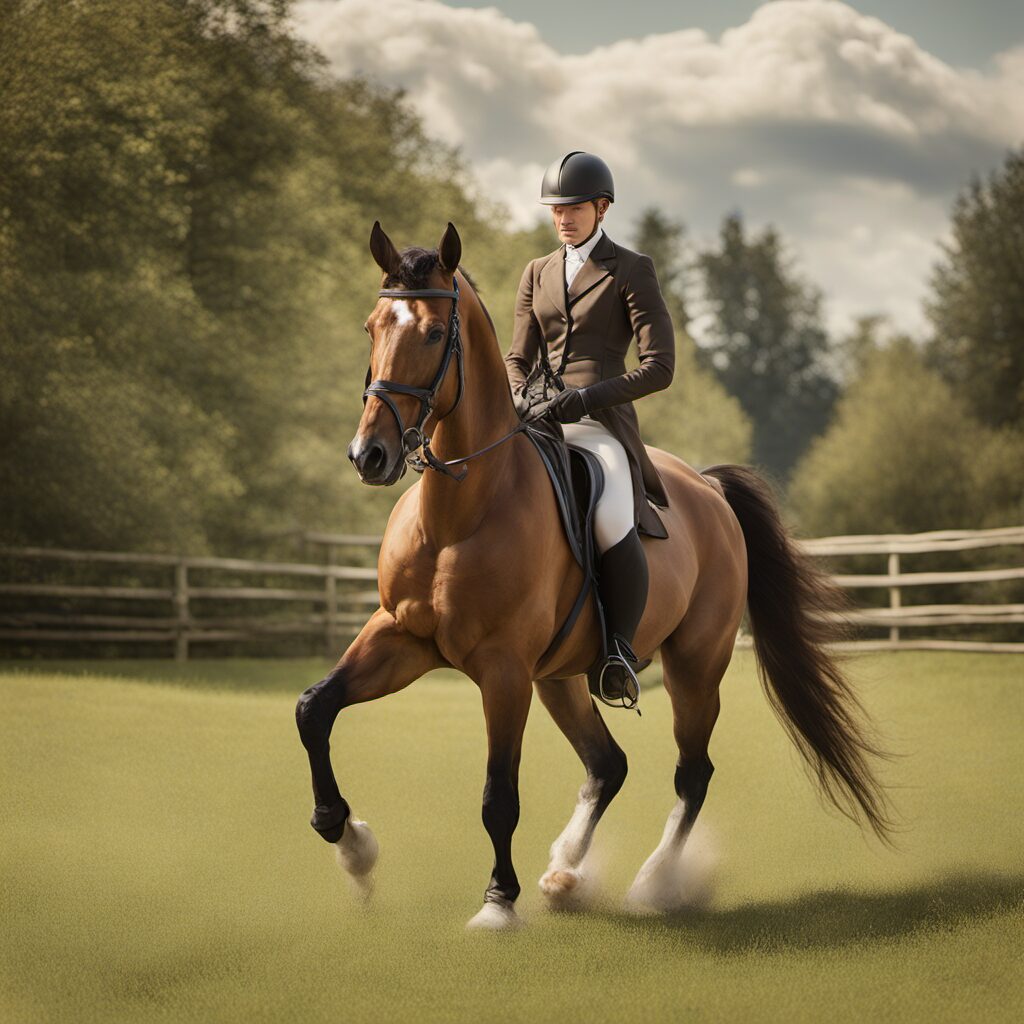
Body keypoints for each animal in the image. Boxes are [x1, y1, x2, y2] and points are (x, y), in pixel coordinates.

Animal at [294, 220, 892, 930]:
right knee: (608, 764)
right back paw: (563, 872)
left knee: (692, 773)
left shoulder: (503, 671)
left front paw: (498, 904)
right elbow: (314, 708)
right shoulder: (403, 638)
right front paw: (351, 845)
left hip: (695, 666)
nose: (371, 455)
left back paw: (651, 883)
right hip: (558, 677)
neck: (460, 516)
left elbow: (498, 794)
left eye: (436, 334)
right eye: (372, 326)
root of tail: (708, 489)